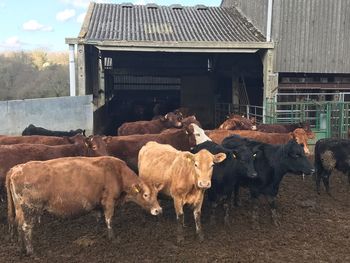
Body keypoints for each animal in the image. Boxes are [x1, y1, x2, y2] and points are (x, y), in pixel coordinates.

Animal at [6, 157, 163, 256]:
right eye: (146, 195)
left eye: (157, 194)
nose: (158, 210)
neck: (117, 172)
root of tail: (16, 168)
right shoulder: (109, 201)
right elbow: (109, 219)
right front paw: (112, 238)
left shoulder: (98, 203)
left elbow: (99, 218)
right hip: (30, 209)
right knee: (26, 227)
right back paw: (31, 251)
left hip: (20, 209)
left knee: (18, 225)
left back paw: (21, 249)